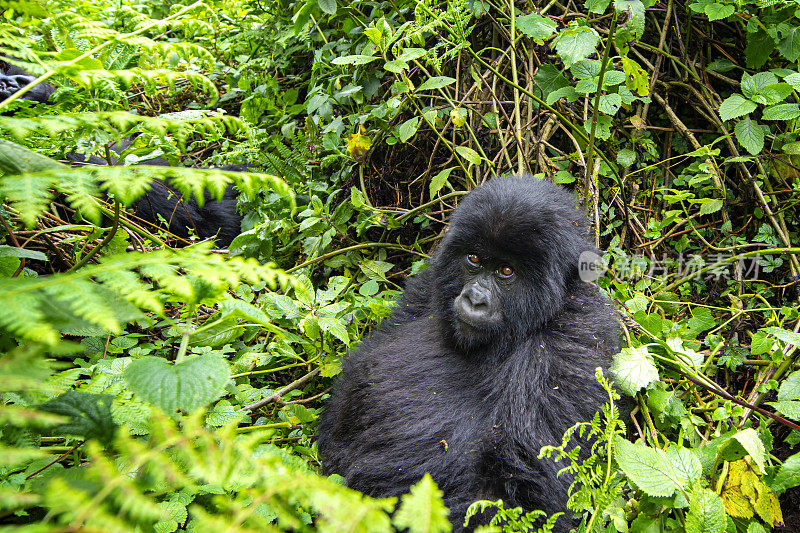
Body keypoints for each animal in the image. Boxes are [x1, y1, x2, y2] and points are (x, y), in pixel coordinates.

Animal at [318, 177, 620, 528]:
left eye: (506, 271)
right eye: (474, 259)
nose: (474, 298)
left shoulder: (568, 347)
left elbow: (518, 491)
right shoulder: (428, 286)